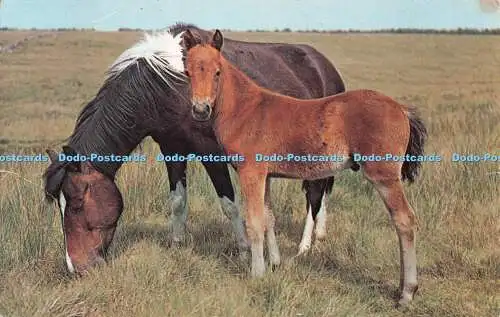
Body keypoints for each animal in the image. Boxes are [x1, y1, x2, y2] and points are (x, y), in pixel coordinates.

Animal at [43, 23, 346, 272]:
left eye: (77, 204)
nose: (75, 268)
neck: (168, 85)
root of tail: (324, 65)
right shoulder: (172, 148)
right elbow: (178, 200)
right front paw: (176, 243)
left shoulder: (211, 152)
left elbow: (229, 204)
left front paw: (243, 249)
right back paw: (320, 234)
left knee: (315, 192)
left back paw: (305, 246)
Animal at [182, 30, 428, 306]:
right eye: (188, 72)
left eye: (217, 72)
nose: (200, 109)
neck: (247, 110)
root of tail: (402, 110)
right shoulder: (266, 176)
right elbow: (269, 218)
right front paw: (274, 263)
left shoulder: (251, 173)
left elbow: (254, 222)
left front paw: (257, 274)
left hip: (384, 176)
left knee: (404, 220)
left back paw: (407, 292)